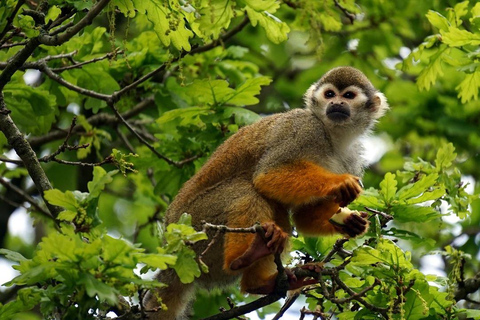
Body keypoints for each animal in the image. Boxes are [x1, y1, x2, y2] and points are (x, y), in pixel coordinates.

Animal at [144, 66, 388, 318]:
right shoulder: (304, 128)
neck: (333, 137)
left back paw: (260, 282)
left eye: (348, 96)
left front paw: (350, 223)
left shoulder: (353, 158)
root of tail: (172, 249)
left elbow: (303, 216)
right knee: (247, 190)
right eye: (329, 94)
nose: (336, 103)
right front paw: (339, 183)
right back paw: (243, 257)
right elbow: (267, 175)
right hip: (194, 226)